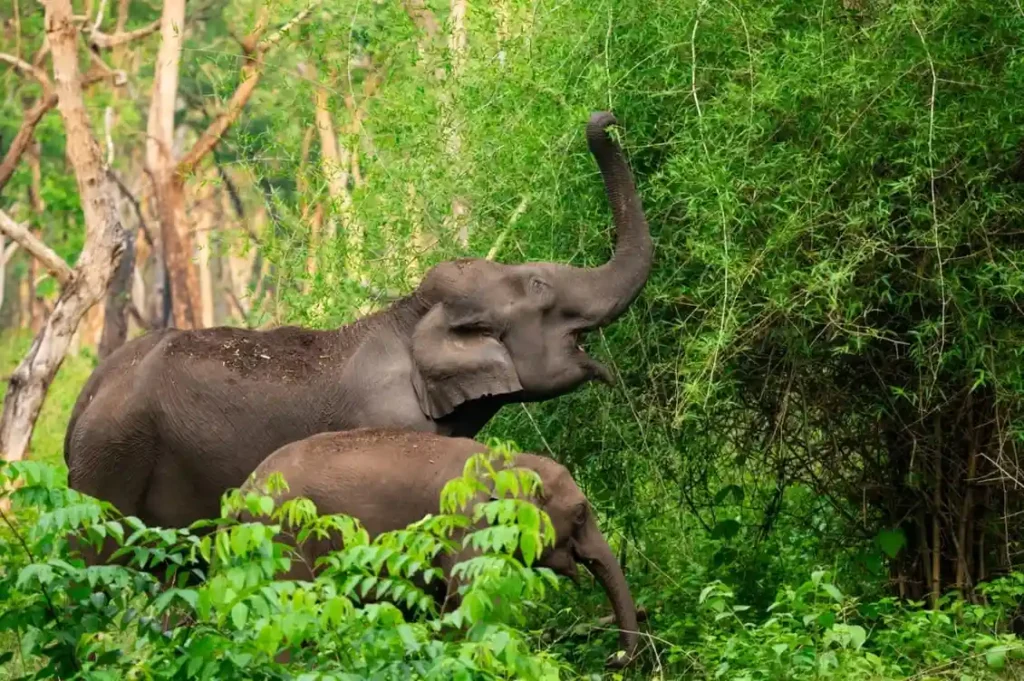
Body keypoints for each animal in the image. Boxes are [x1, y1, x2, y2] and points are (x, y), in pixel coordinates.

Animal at [63, 111, 652, 533]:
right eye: (539, 289)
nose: (607, 116)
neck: (409, 315)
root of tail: (86, 398)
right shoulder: (394, 424)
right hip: (113, 459)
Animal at [235, 428, 640, 669]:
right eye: (580, 513)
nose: (613, 659)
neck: (507, 460)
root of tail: (242, 492)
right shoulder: (469, 526)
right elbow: (465, 604)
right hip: (284, 537)